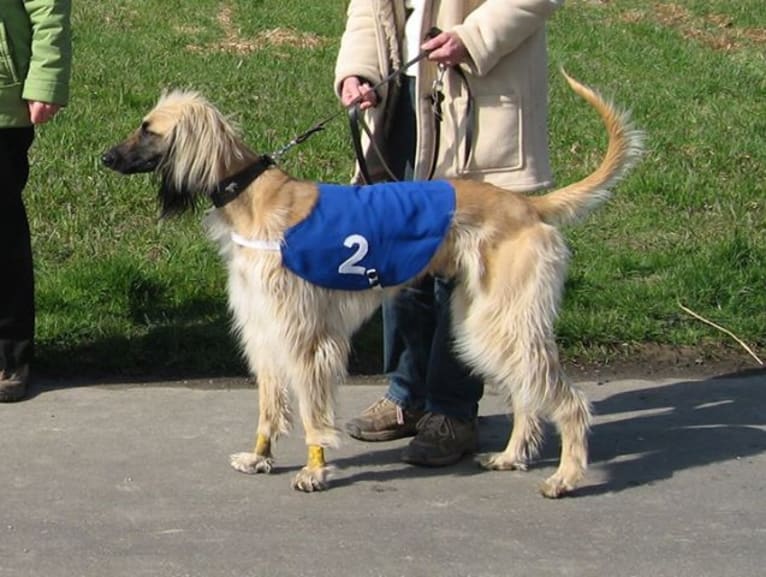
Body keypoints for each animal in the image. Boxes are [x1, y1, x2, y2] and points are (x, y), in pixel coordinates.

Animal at [100, 71, 640, 496]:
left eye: (148, 129)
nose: (104, 157)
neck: (251, 197)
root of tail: (528, 206)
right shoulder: (263, 327)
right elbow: (269, 405)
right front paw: (260, 456)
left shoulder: (305, 336)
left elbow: (313, 409)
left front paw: (314, 471)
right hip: (485, 318)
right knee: (528, 391)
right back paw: (512, 456)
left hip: (502, 317)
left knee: (568, 400)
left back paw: (565, 476)